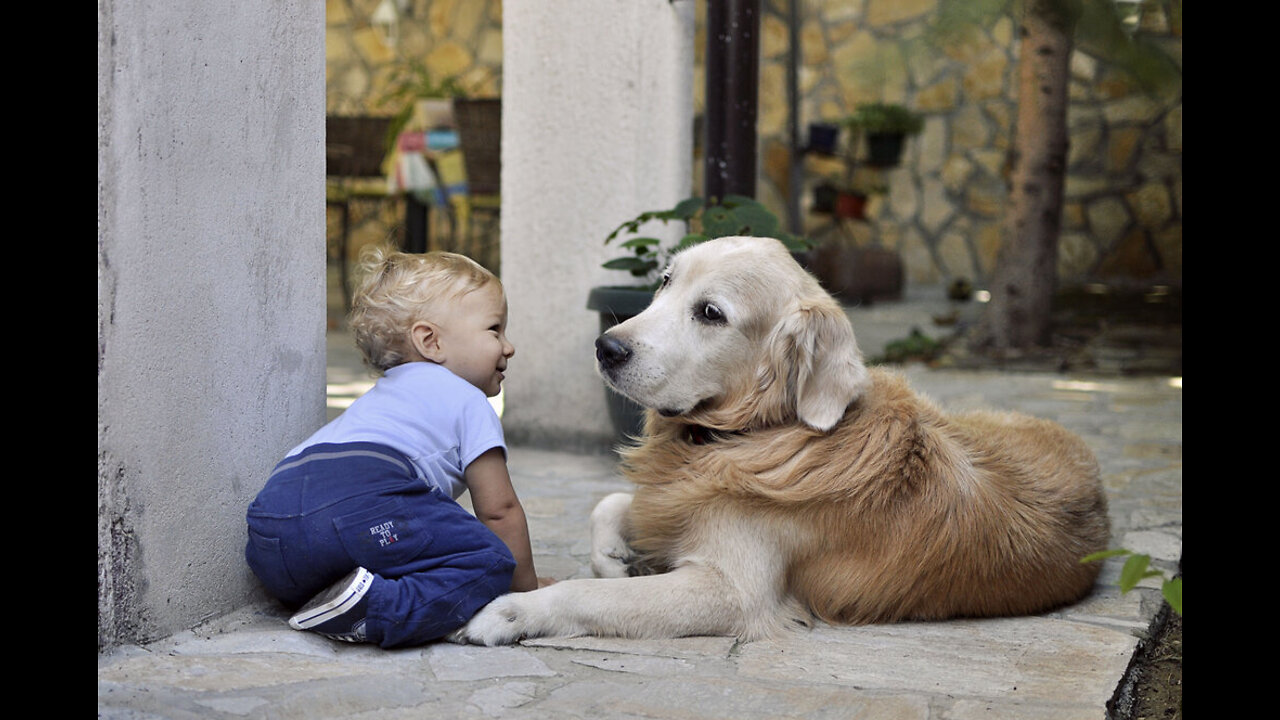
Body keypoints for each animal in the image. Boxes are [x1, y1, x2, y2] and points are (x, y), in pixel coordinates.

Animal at [453, 235, 1111, 645]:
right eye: (664, 282)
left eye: (711, 313)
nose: (606, 347)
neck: (754, 434)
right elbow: (612, 504)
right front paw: (620, 556)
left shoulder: (731, 591)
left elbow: (590, 595)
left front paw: (513, 610)